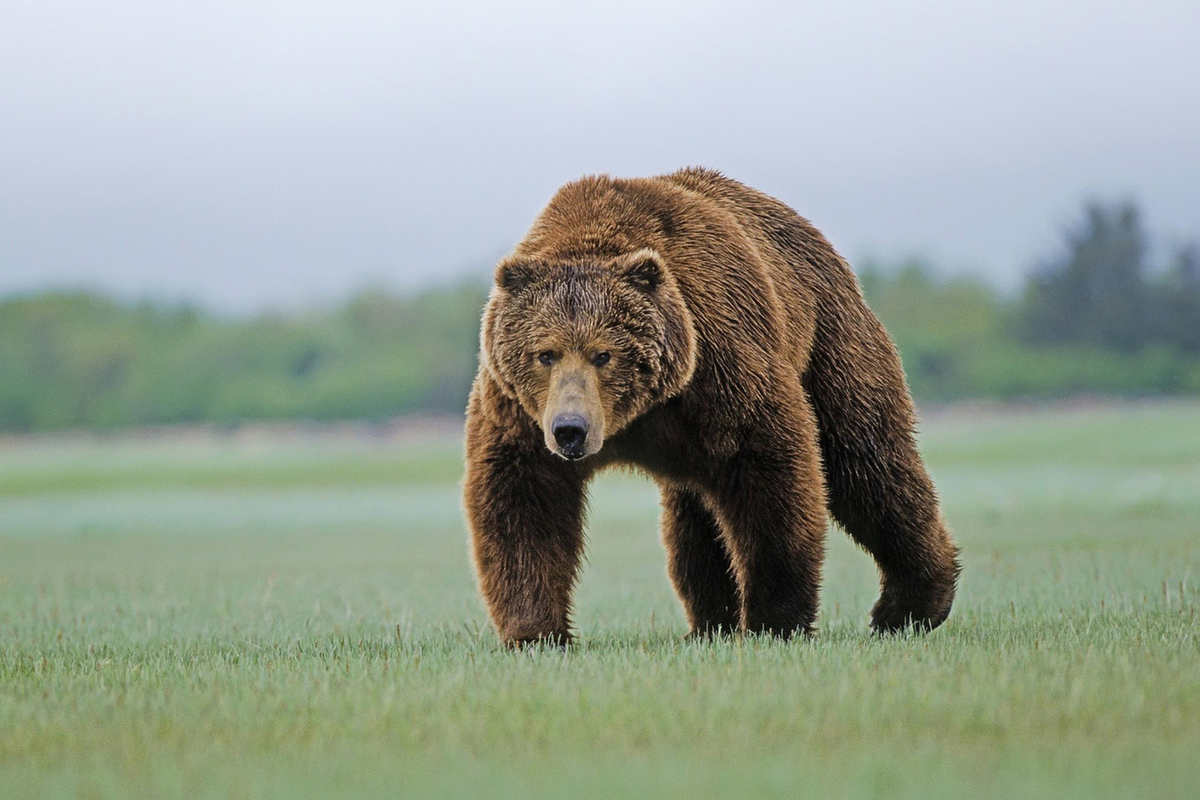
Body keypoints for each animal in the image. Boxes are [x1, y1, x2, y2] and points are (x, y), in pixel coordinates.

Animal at [463, 167, 960, 642]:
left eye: (603, 354)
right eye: (545, 353)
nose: (571, 429)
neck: (638, 415)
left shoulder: (720, 364)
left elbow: (771, 475)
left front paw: (774, 620)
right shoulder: (519, 410)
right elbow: (524, 500)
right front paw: (536, 631)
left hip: (830, 341)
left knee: (867, 462)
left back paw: (909, 606)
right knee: (695, 519)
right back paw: (709, 623)